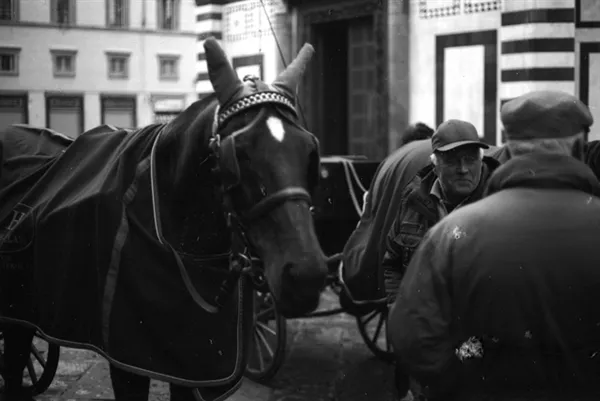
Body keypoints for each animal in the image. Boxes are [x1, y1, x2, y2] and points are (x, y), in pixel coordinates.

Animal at [0, 38, 328, 400]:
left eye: (309, 152)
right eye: (239, 154)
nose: (306, 274)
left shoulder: (188, 367)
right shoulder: (129, 360)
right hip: (16, 309)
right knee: (12, 364)